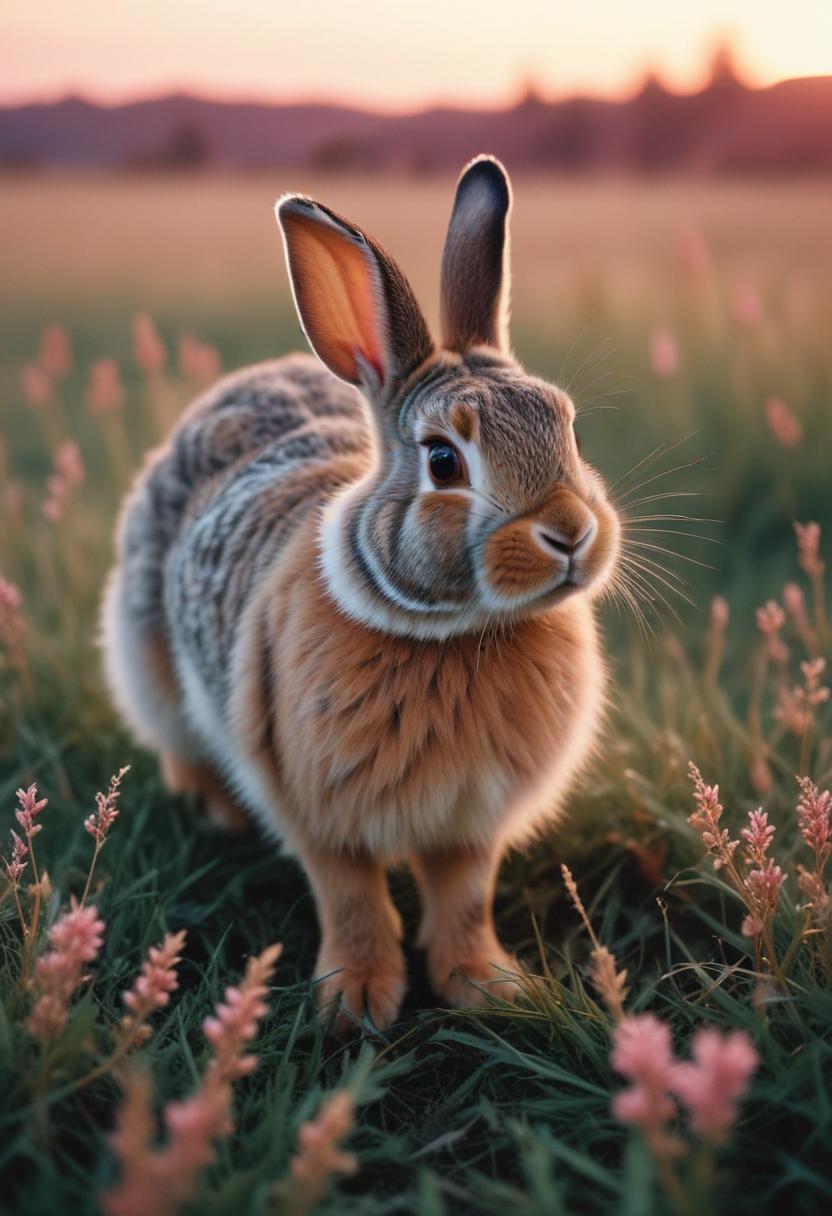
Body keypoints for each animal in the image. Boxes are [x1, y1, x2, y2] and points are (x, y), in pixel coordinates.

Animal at [101, 155, 621, 1034]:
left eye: (570, 429)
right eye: (444, 461)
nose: (571, 533)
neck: (452, 631)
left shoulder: (471, 822)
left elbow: (464, 898)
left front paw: (488, 986)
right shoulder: (317, 806)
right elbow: (351, 898)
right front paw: (357, 1001)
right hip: (151, 666)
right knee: (182, 750)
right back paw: (221, 812)